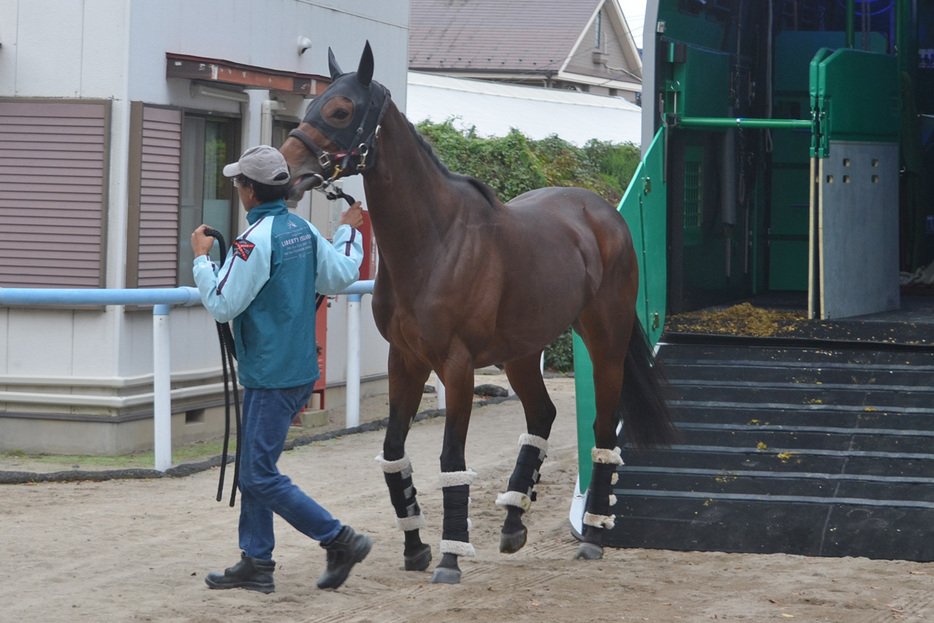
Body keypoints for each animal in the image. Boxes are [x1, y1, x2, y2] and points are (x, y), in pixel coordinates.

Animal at [280, 42, 680, 584]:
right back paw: (513, 518)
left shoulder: (457, 366)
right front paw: (416, 549)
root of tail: (604, 214)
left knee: (601, 426)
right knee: (542, 413)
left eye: (341, 110)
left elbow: (452, 458)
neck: (434, 242)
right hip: (521, 353)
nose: (283, 169)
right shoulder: (405, 361)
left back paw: (594, 534)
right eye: (312, 105)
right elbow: (393, 454)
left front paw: (450, 558)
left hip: (606, 342)